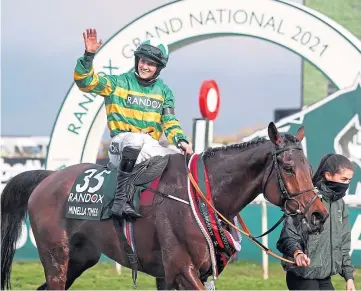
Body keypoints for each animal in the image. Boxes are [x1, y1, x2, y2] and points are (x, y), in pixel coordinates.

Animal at [0, 123, 328, 290]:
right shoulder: (182, 270)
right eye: (288, 167)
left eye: (309, 166)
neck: (200, 197)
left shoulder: (179, 275)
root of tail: (48, 177)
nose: (318, 213)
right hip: (57, 259)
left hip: (81, 259)